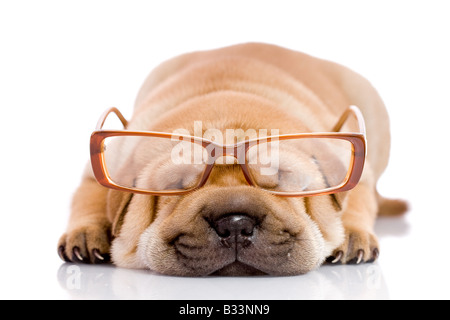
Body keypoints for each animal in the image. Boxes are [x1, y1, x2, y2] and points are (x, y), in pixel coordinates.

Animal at [57, 43, 408, 276]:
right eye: (176, 186)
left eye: (282, 181)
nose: (236, 224)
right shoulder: (101, 165)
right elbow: (90, 196)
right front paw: (86, 232)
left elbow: (356, 199)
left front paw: (352, 233)